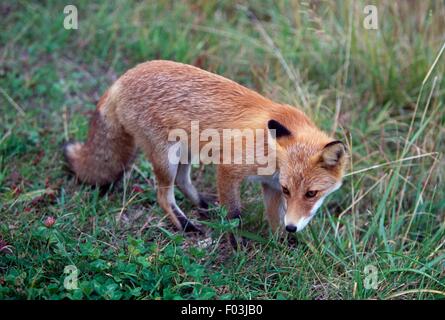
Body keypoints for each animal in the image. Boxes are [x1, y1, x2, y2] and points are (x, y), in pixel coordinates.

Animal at [63, 59, 346, 235]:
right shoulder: (230, 169)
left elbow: (274, 218)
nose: (292, 228)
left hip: (185, 153)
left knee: (182, 181)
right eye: (291, 191)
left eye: (311, 193)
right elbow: (234, 217)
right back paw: (185, 225)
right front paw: (237, 244)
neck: (272, 155)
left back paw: (203, 205)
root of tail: (122, 78)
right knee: (163, 196)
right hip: (166, 157)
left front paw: (281, 242)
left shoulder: (271, 186)